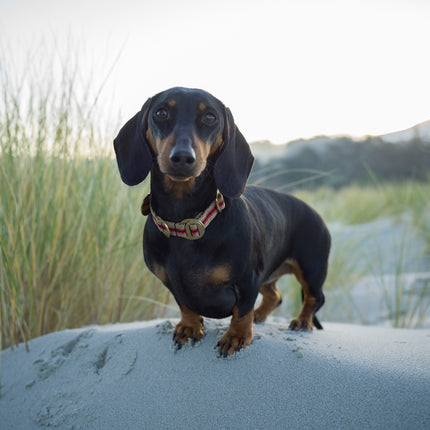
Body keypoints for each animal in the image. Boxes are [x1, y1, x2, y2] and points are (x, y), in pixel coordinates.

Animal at [112, 87, 330, 356]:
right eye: (161, 113)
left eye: (210, 117)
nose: (182, 157)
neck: (185, 221)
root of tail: (316, 213)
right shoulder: (173, 284)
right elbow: (185, 305)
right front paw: (190, 327)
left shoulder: (248, 279)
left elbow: (243, 310)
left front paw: (236, 336)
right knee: (275, 295)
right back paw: (261, 316)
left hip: (311, 268)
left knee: (314, 298)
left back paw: (301, 321)